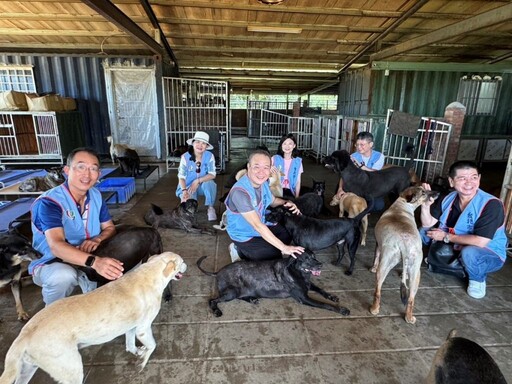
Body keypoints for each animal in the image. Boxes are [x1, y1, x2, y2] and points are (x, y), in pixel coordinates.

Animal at [0, 252, 188, 384]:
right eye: (181, 262)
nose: (187, 266)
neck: (152, 271)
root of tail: (24, 335)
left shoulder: (131, 326)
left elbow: (130, 345)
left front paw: (138, 353)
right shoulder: (143, 328)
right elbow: (153, 345)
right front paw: (144, 360)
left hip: (27, 369)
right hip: (71, 368)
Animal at [195, 250, 348, 316]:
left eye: (314, 256)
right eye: (306, 258)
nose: (321, 265)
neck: (298, 272)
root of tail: (218, 271)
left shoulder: (309, 285)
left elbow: (321, 290)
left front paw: (332, 296)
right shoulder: (304, 298)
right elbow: (325, 305)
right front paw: (341, 309)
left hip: (236, 292)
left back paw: (252, 299)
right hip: (232, 292)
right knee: (212, 300)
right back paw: (216, 310)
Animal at [368, 186, 440, 324]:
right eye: (423, 192)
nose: (437, 193)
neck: (402, 205)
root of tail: (404, 243)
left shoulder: (378, 244)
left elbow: (376, 256)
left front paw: (372, 268)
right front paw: (403, 275)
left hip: (385, 263)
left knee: (378, 290)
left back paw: (374, 309)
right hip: (416, 271)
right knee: (411, 298)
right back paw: (409, 317)